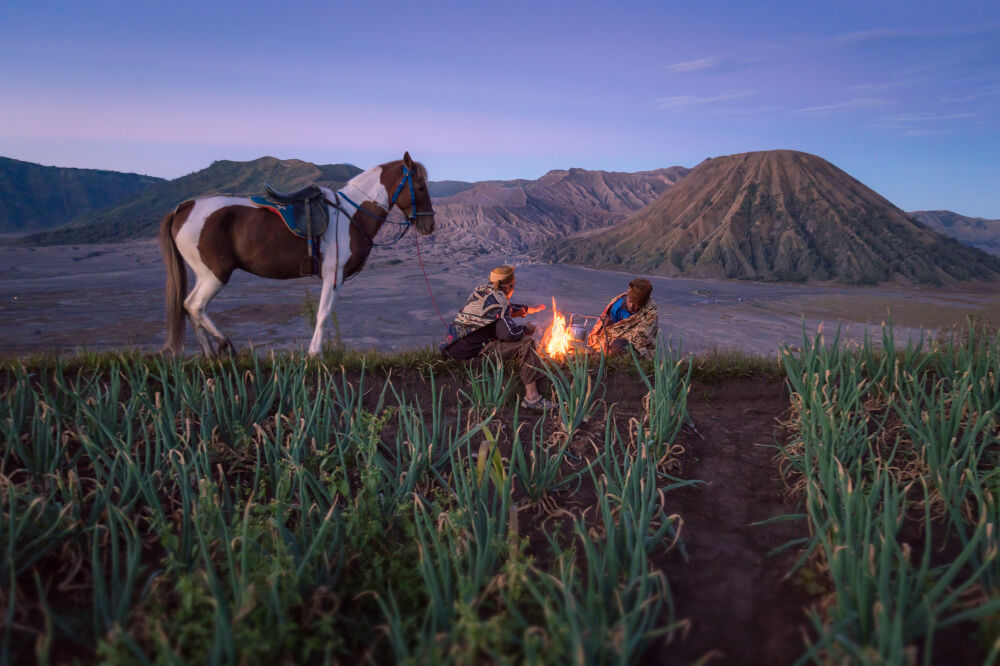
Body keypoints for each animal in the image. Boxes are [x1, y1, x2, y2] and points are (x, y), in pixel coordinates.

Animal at [160, 152, 434, 356]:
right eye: (420, 186)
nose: (429, 225)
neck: (351, 214)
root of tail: (183, 209)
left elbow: (325, 313)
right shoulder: (333, 274)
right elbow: (323, 314)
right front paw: (314, 354)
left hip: (204, 274)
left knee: (190, 307)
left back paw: (210, 355)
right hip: (215, 274)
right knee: (194, 306)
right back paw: (225, 345)